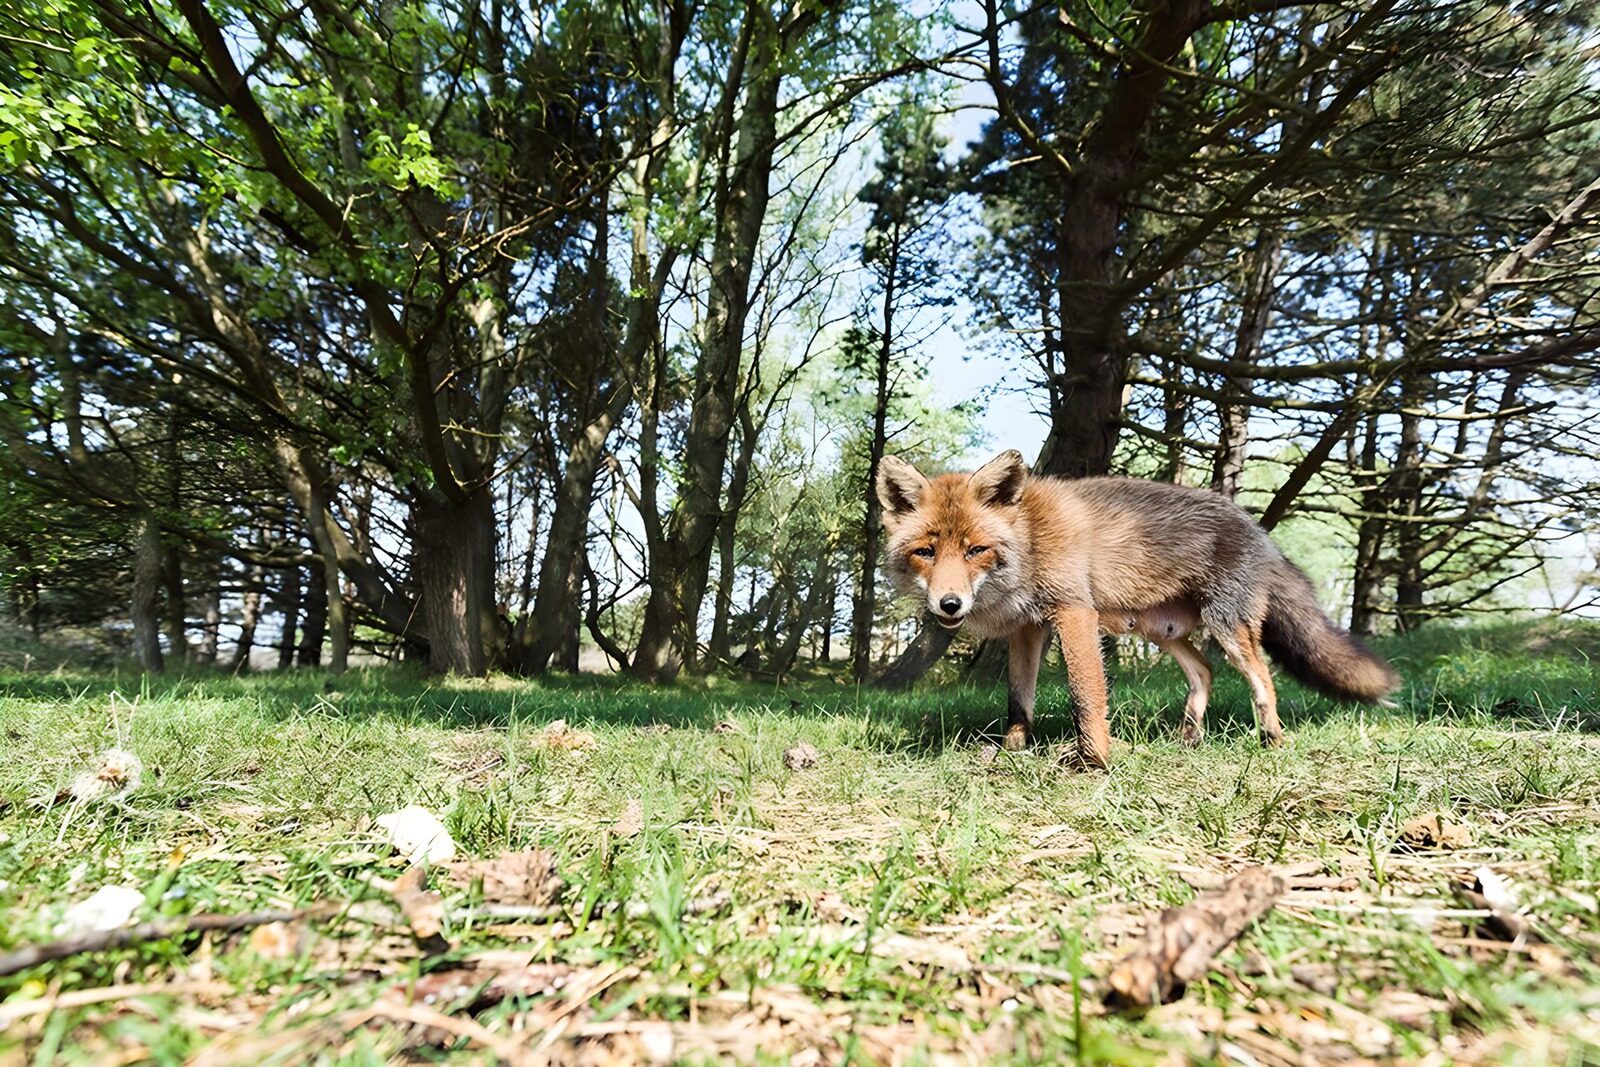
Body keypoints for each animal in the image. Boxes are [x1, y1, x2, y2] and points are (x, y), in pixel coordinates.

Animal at [876, 449, 1401, 768]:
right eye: (926, 552)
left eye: (975, 550)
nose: (948, 604)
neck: (1030, 542)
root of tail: (1260, 531)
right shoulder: (1027, 630)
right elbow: (1018, 702)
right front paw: (1012, 753)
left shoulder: (1074, 612)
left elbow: (1086, 697)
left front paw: (1093, 763)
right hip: (1163, 633)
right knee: (1205, 671)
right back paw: (1190, 739)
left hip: (1228, 628)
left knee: (1263, 679)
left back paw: (1271, 739)